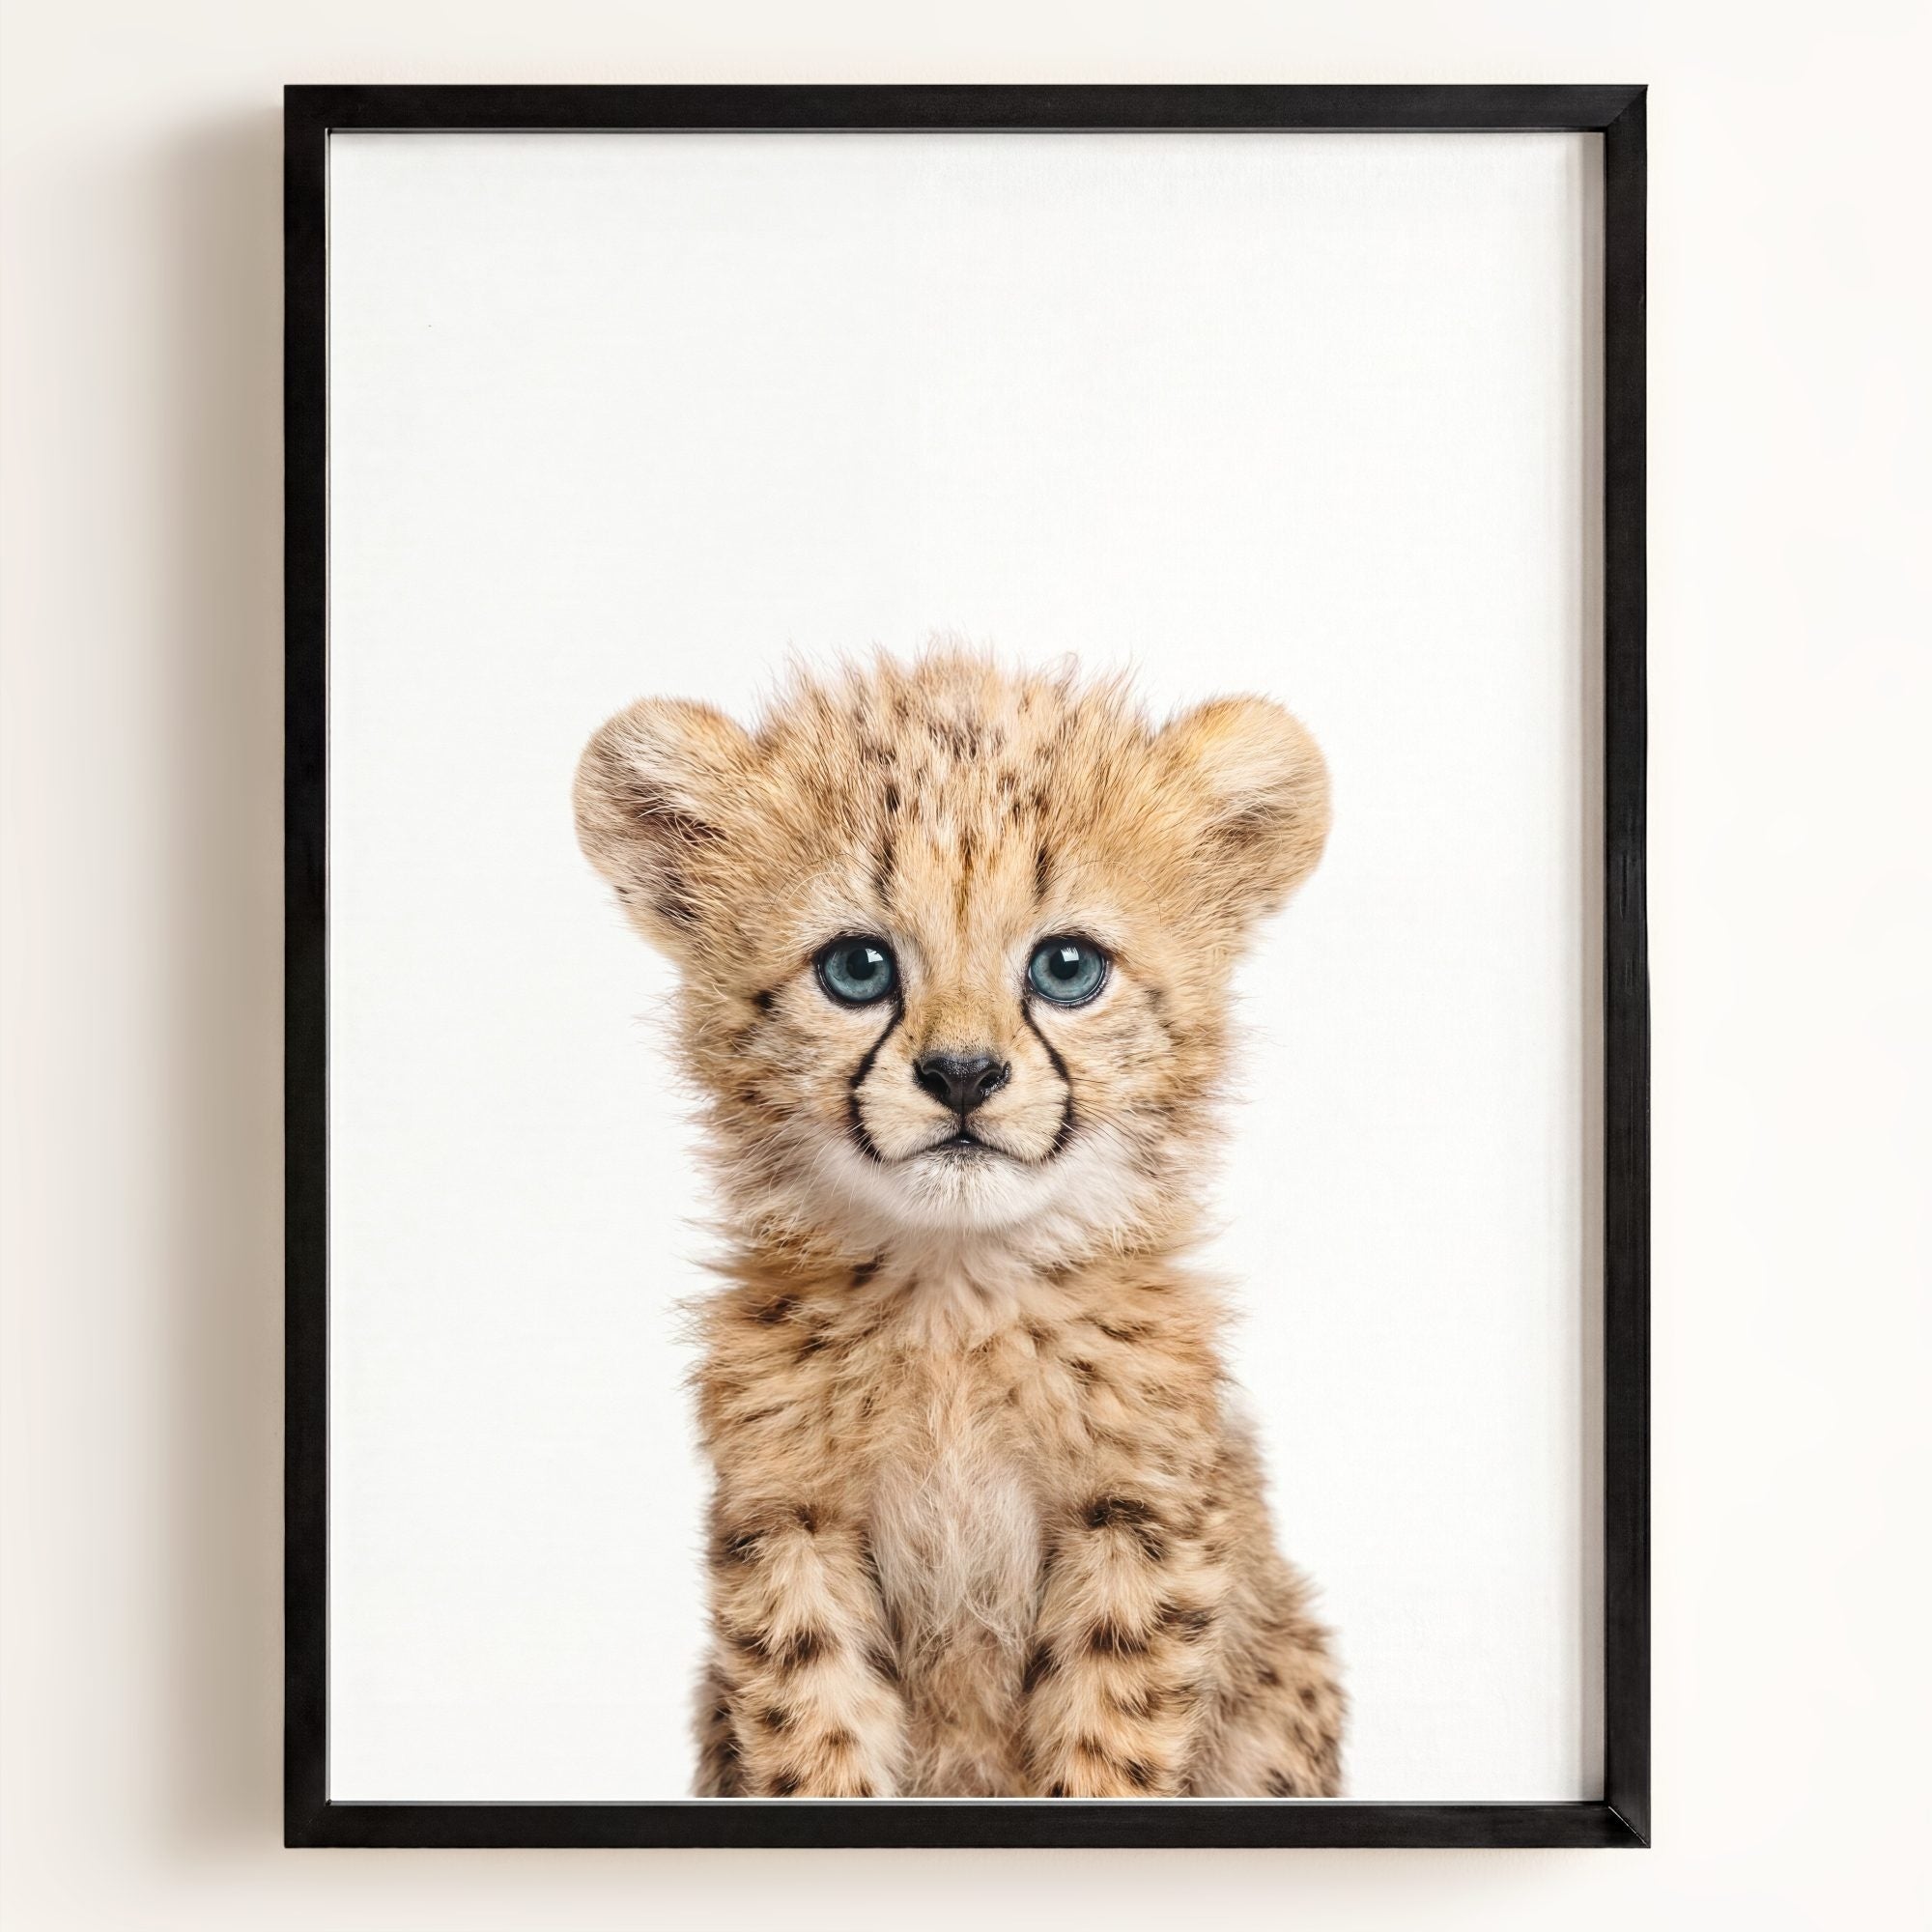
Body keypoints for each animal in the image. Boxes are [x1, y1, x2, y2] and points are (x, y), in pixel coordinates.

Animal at [574, 648, 1344, 1798]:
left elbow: (1108, 1741)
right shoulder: (791, 1523)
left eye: (1067, 967)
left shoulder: (1137, 1518)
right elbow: (813, 1734)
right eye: (857, 967)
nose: (963, 1075)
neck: (955, 1293)